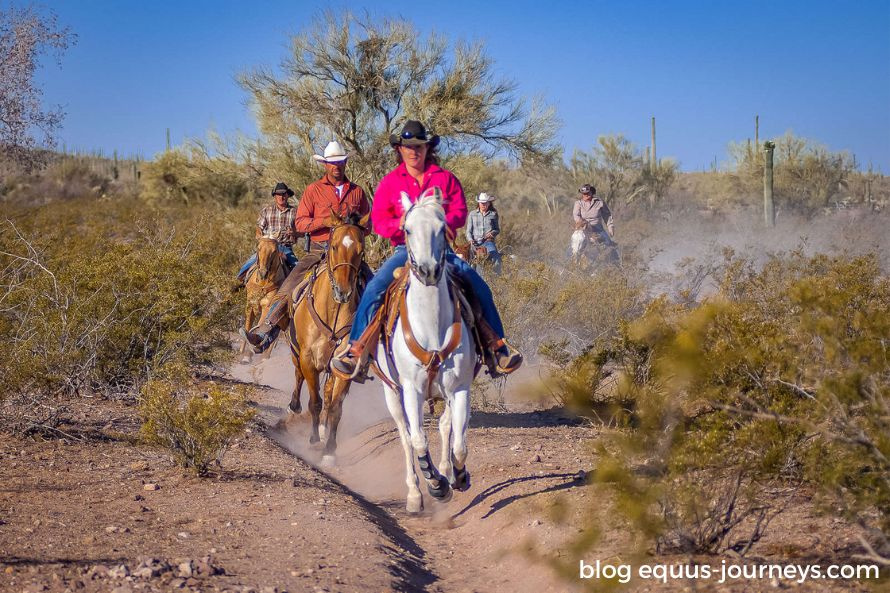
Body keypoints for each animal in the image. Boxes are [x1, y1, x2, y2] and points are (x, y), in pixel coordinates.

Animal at [282, 210, 370, 464]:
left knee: (329, 396)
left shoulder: (344, 366)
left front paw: (329, 450)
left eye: (361, 249)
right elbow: (315, 402)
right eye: (334, 246)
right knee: (298, 377)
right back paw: (294, 408)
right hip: (296, 354)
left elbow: (335, 408)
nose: (343, 291)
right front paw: (313, 441)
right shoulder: (308, 359)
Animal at [372, 187, 476, 512]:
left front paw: (457, 476)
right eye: (406, 229)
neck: (431, 324)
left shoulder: (459, 388)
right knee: (406, 438)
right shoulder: (411, 390)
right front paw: (435, 485)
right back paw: (416, 494)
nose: (428, 270)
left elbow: (459, 444)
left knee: (445, 427)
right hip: (391, 393)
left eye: (442, 229)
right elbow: (418, 440)